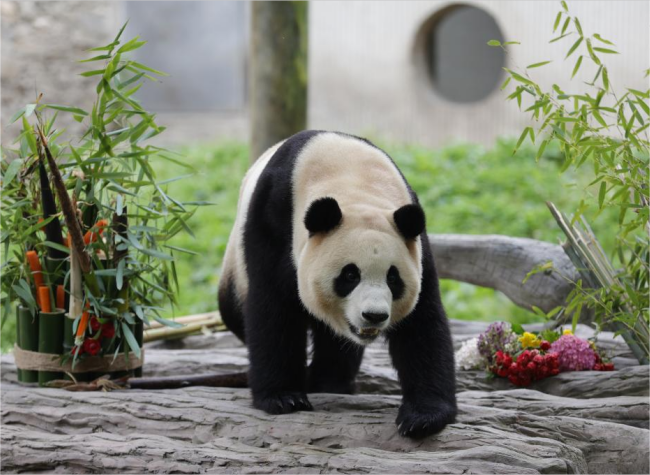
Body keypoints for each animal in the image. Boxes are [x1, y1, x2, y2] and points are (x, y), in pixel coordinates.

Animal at [218, 130, 456, 438]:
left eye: (393, 278)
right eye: (350, 275)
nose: (374, 316)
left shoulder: (415, 243)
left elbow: (422, 323)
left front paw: (423, 416)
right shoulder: (273, 219)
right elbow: (273, 309)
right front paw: (283, 397)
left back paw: (330, 382)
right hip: (234, 264)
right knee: (234, 310)